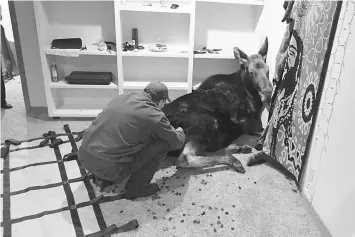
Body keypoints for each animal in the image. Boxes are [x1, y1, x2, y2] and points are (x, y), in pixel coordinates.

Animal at [163, 38, 274, 173]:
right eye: (251, 72)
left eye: (268, 70)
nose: (268, 94)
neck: (253, 99)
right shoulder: (242, 121)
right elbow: (262, 132)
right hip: (207, 123)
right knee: (185, 158)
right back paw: (233, 159)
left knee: (207, 150)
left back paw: (238, 148)